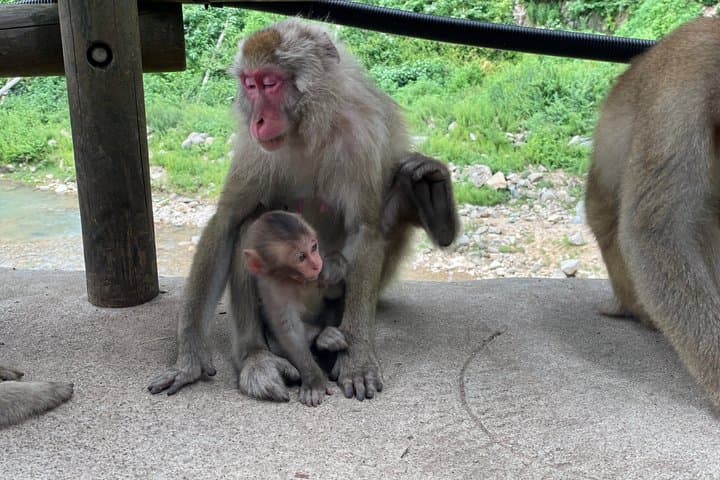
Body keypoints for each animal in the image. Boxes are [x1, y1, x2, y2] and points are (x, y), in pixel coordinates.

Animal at [243, 210, 349, 406]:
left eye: (314, 247)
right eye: (301, 257)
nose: (316, 264)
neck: (298, 279)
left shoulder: (319, 276)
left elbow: (335, 294)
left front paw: (335, 264)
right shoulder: (272, 287)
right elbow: (289, 330)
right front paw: (313, 380)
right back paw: (323, 338)